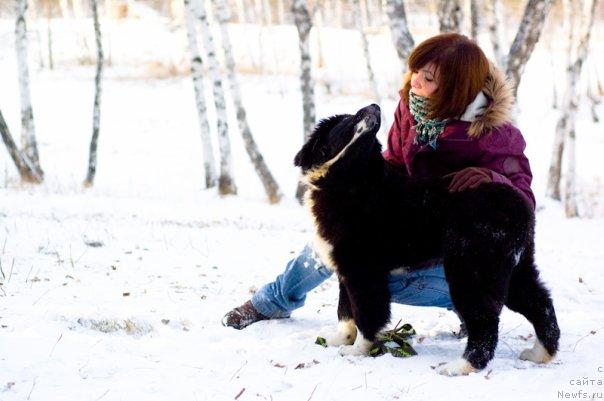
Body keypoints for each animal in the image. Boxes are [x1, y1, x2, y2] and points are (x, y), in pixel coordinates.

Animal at [298, 103, 560, 376]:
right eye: (347, 119)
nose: (374, 106)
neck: (352, 179)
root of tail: (517, 203)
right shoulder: (345, 268)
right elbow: (345, 310)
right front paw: (339, 339)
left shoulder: (363, 271)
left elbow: (365, 313)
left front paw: (358, 350)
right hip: (515, 268)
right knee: (541, 303)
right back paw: (540, 353)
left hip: (471, 269)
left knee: (485, 322)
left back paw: (460, 366)